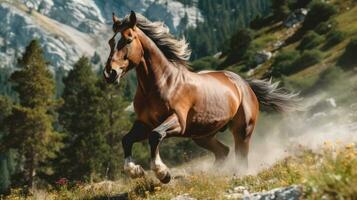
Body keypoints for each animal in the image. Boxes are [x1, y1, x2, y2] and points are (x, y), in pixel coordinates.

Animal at [102, 10, 298, 183]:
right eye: (111, 42)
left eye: (128, 39)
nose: (110, 74)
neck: (164, 82)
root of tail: (244, 84)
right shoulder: (144, 123)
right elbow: (126, 139)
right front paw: (135, 171)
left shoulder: (178, 121)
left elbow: (155, 135)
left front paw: (163, 173)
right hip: (202, 135)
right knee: (223, 152)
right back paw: (211, 175)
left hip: (242, 130)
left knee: (241, 155)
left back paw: (237, 175)